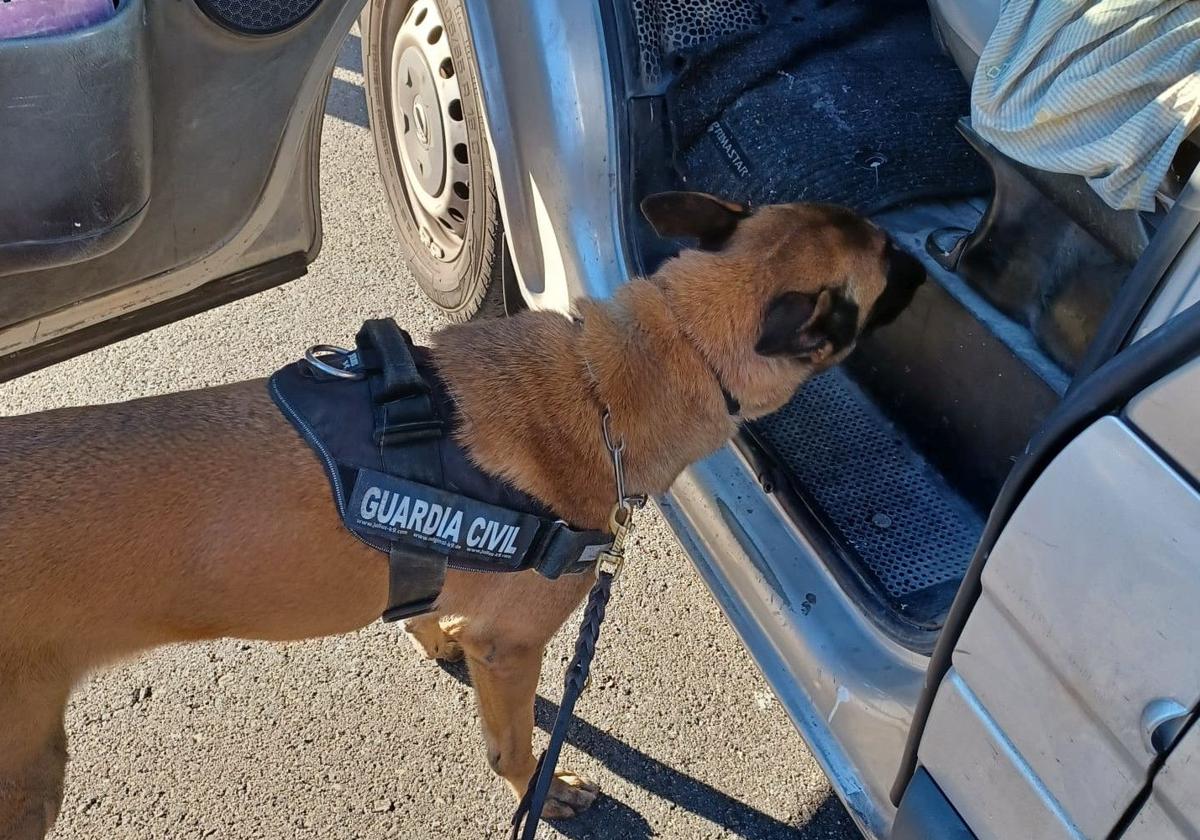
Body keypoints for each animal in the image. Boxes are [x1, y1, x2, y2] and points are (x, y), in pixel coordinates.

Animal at [0, 193, 916, 835]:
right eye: (892, 259)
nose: (931, 256)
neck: (626, 369)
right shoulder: (514, 651)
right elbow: (516, 745)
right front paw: (541, 795)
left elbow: (428, 612)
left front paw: (428, 635)